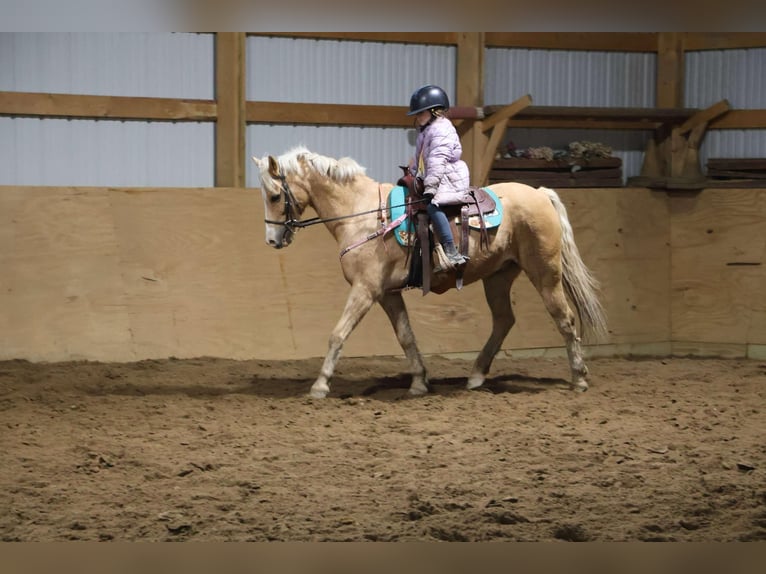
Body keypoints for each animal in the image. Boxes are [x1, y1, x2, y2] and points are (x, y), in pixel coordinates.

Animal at [252, 146, 608, 399]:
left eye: (275, 195)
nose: (271, 240)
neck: (361, 214)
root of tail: (540, 193)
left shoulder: (365, 290)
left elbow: (337, 334)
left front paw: (320, 385)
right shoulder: (387, 294)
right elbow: (406, 336)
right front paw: (420, 382)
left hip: (545, 272)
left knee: (564, 318)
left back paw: (578, 378)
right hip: (499, 276)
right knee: (504, 320)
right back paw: (476, 375)